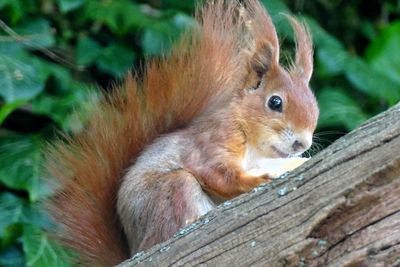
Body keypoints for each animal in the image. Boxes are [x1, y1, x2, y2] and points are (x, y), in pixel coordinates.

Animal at [47, 1, 318, 266]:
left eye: (315, 107)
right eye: (275, 102)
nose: (302, 143)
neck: (253, 144)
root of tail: (135, 249)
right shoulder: (211, 142)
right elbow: (218, 174)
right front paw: (261, 179)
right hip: (172, 192)